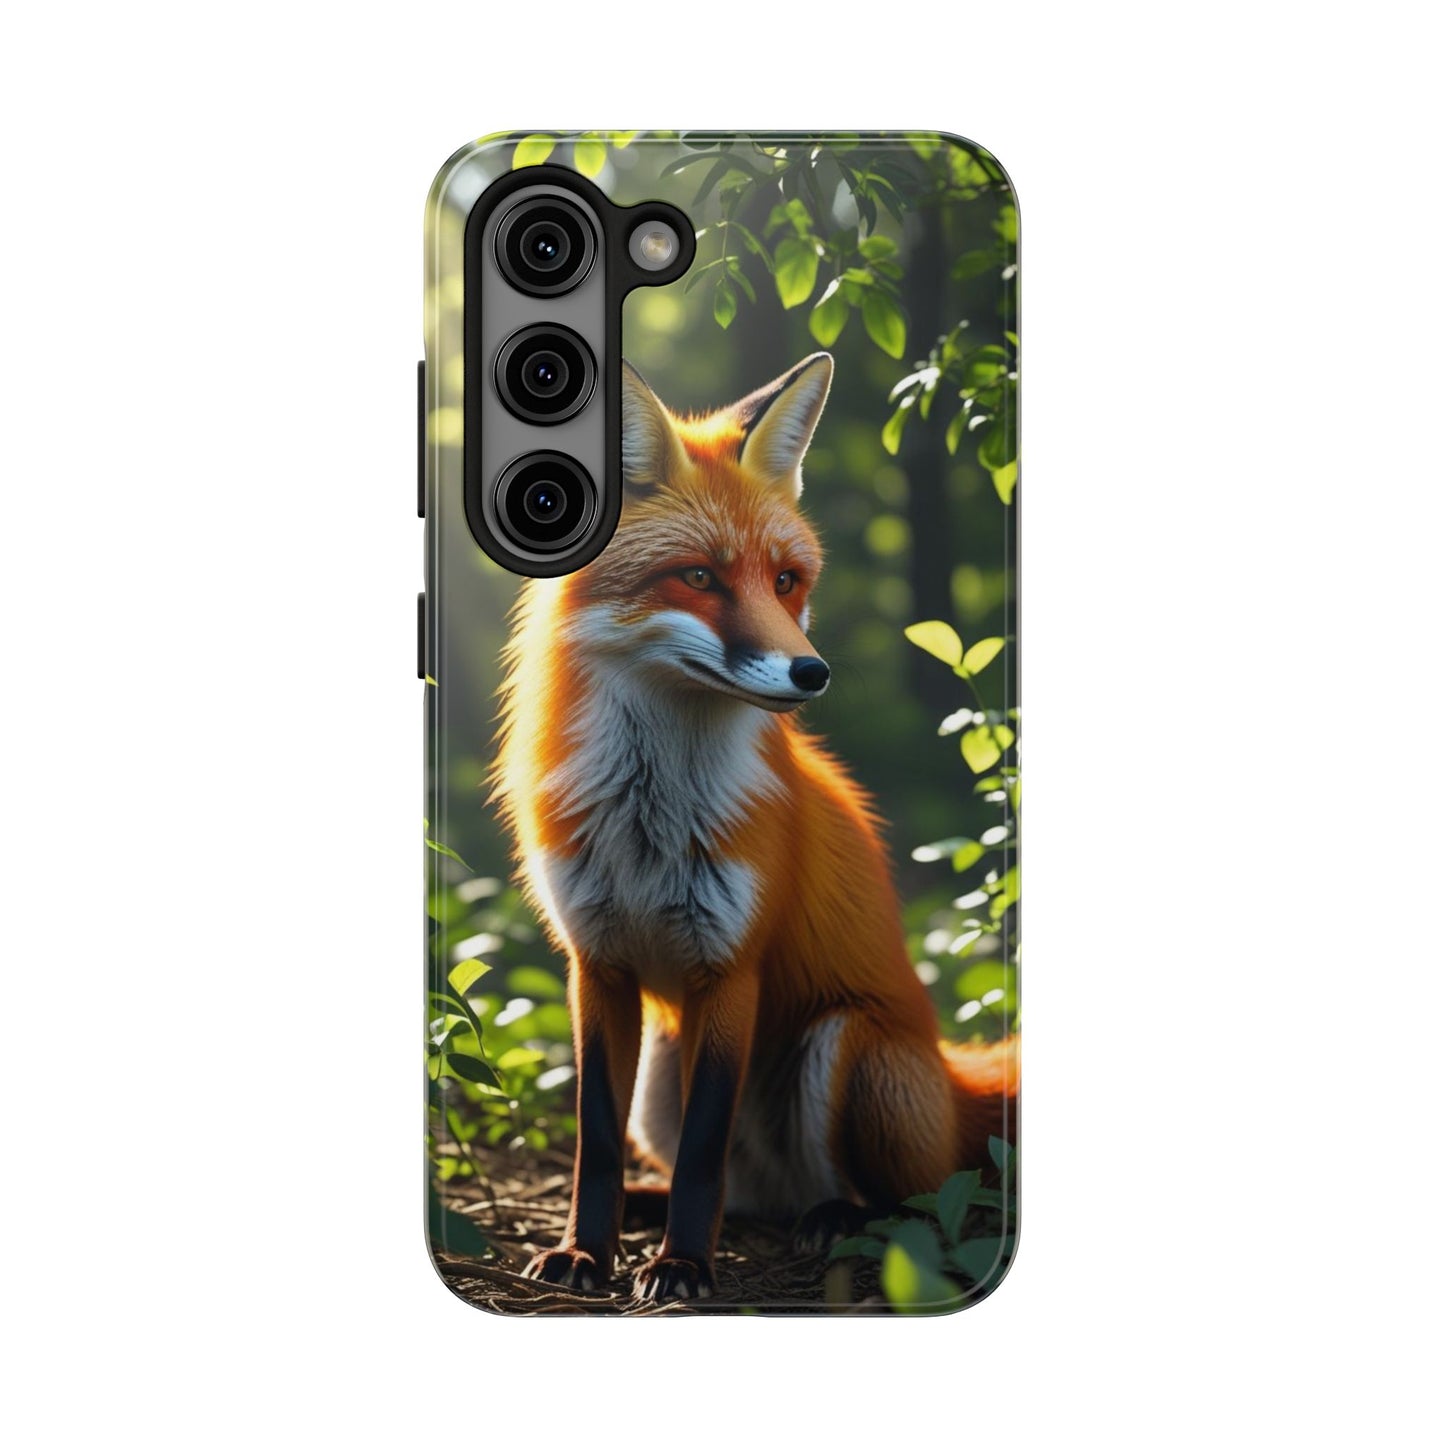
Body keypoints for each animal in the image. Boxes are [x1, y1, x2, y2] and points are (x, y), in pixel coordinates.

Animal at [494, 352, 1018, 1302]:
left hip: (848, 1049)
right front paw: (586, 1251)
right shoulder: (596, 963)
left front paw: (683, 1267)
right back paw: (657, 1205)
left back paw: (833, 1217)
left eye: (784, 581)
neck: (649, 820)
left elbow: (705, 1149)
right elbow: (596, 1137)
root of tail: (951, 1071)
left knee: (907, 1202)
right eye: (698, 576)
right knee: (739, 1194)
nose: (811, 672)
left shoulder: (729, 967)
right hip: (660, 1075)